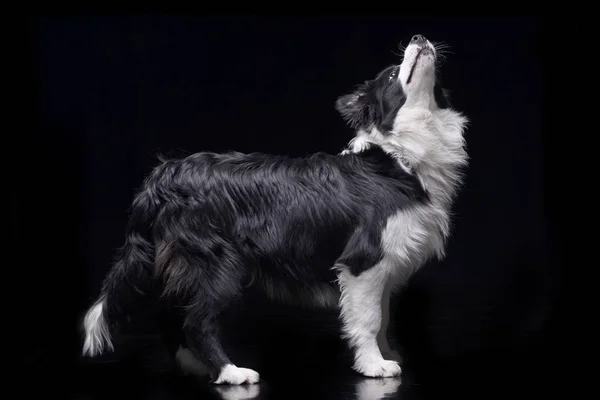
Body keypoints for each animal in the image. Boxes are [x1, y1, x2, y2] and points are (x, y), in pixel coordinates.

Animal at [82, 33, 472, 384]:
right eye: (392, 75)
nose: (418, 36)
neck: (399, 154)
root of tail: (162, 176)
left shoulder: (387, 263)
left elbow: (385, 316)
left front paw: (387, 353)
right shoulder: (363, 260)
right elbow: (369, 319)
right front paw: (374, 365)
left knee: (171, 315)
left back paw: (194, 365)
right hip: (218, 261)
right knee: (196, 321)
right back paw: (231, 373)